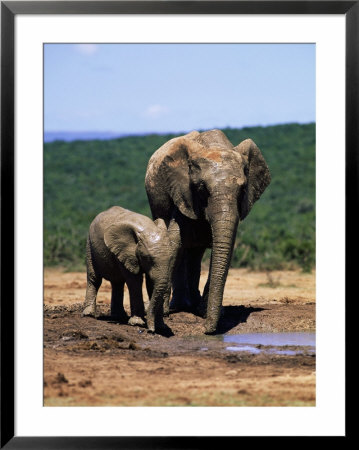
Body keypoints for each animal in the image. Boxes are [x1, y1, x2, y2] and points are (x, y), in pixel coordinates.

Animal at [145, 130, 272, 334]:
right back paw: (178, 306)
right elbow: (174, 242)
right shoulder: (183, 194)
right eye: (202, 188)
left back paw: (190, 305)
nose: (206, 330)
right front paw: (162, 313)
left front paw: (205, 313)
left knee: (196, 254)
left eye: (243, 189)